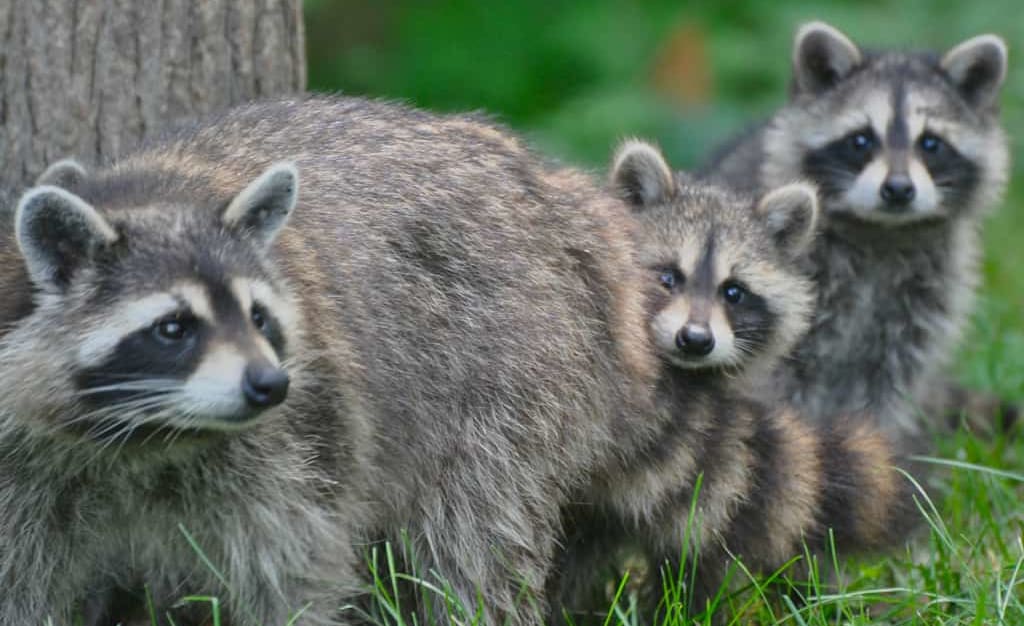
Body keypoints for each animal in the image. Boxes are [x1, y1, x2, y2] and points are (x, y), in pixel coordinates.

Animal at [0, 96, 662, 625]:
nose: (269, 385)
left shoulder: (304, 442)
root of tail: (560, 198)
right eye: (173, 328)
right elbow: (19, 587)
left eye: (259, 316)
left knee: (475, 535)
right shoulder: (23, 471)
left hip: (513, 372)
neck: (146, 436)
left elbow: (295, 573)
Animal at [551, 141, 922, 622]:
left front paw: (684, 609)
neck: (685, 375)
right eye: (667, 277)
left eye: (734, 292)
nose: (695, 340)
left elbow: (699, 546)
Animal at [699, 22, 1013, 435]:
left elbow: (888, 384)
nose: (898, 189)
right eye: (861, 140)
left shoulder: (922, 303)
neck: (882, 230)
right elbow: (776, 376)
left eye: (930, 143)